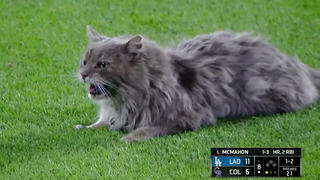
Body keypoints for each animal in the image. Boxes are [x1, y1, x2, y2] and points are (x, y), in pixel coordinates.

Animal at [73, 26, 320, 143]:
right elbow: (99, 123)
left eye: (102, 65)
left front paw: (128, 138)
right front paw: (84, 127)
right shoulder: (113, 115)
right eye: (85, 62)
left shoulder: (189, 116)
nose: (83, 75)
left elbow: (148, 128)